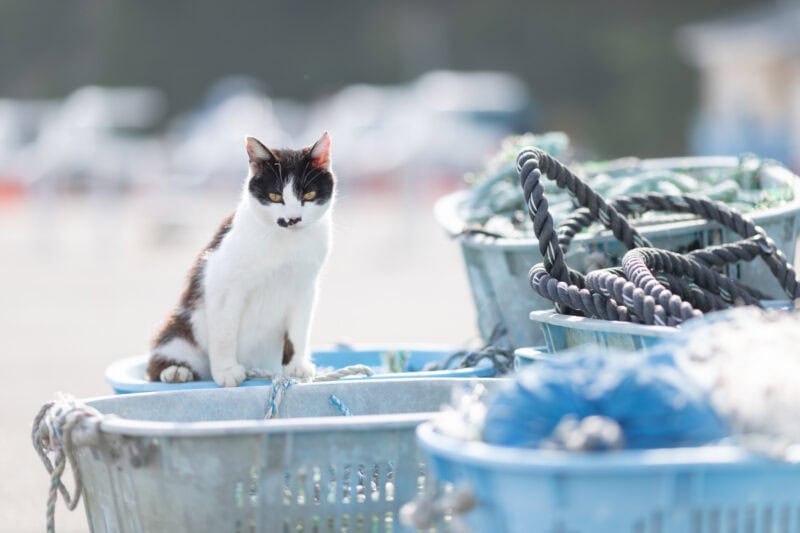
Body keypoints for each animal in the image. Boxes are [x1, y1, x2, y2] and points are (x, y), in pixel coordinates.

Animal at [147, 131, 334, 384]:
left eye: (309, 194)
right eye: (275, 196)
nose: (293, 219)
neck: (285, 241)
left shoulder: (305, 288)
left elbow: (298, 331)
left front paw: (296, 366)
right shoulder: (222, 281)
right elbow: (225, 332)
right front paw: (226, 371)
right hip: (182, 325)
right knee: (161, 357)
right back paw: (175, 371)